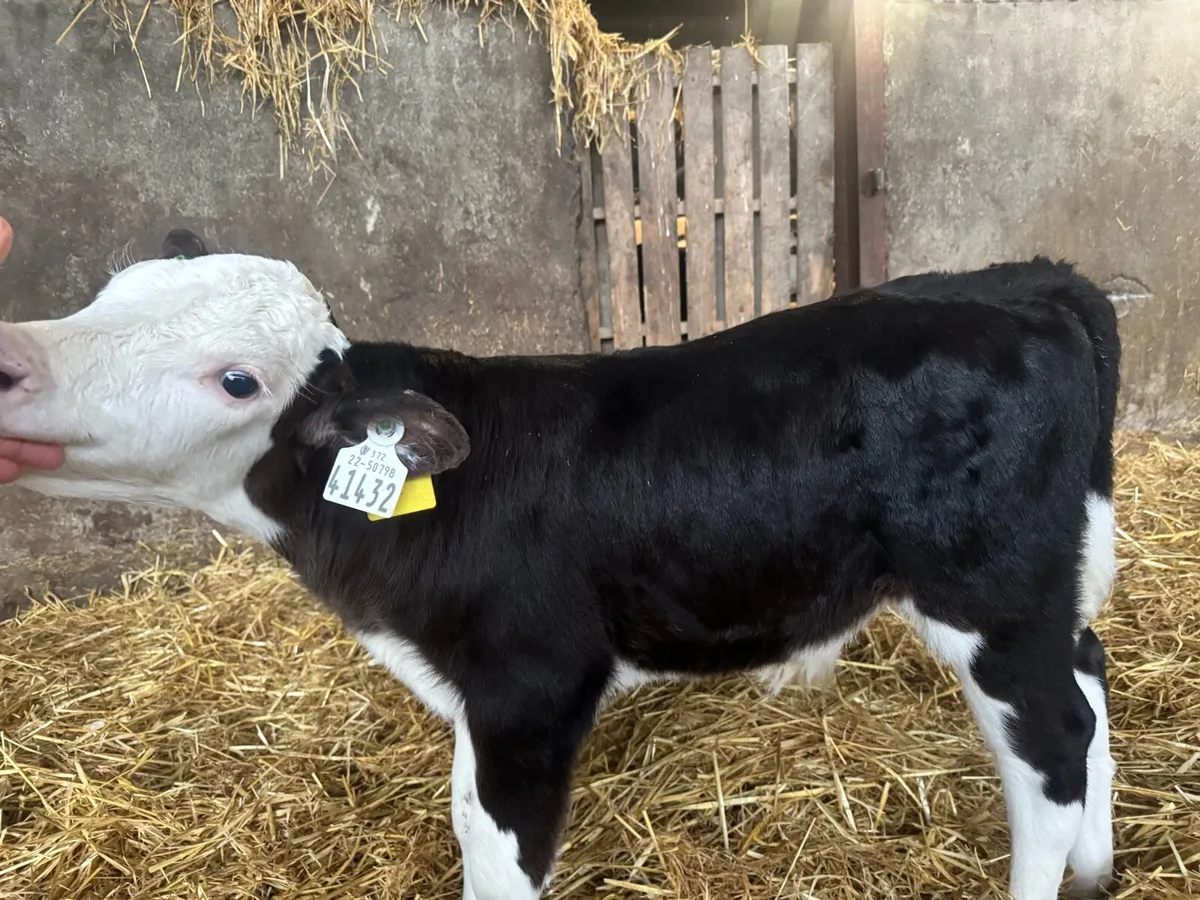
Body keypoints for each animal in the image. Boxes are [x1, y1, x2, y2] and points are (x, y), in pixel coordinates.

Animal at [0, 230, 1120, 900]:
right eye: (109, 292)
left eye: (238, 381)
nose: (13, 359)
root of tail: (1023, 285)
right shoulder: (469, 694)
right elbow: (465, 820)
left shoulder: (534, 689)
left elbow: (502, 856)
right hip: (1045, 584)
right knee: (1090, 674)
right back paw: (1098, 868)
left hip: (990, 586)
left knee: (1050, 742)